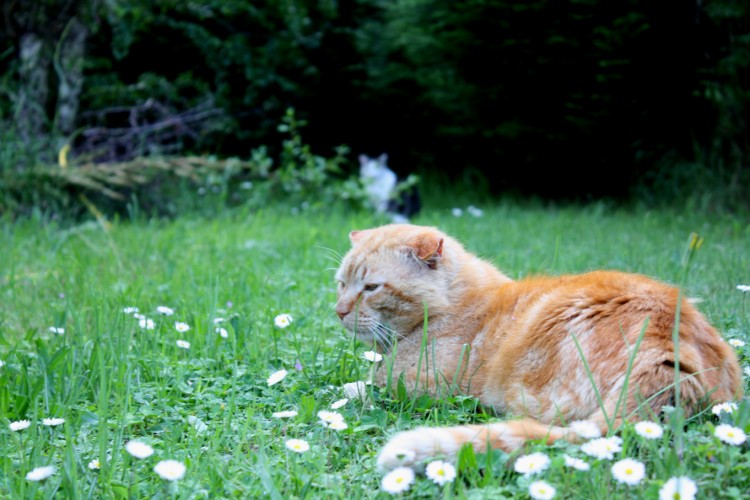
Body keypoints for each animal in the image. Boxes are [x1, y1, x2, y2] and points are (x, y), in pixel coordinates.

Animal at [336, 225, 748, 470]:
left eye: (370, 288)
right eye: (341, 284)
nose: (338, 310)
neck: (453, 304)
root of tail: (667, 354)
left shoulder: (422, 388)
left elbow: (360, 387)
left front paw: (351, 389)